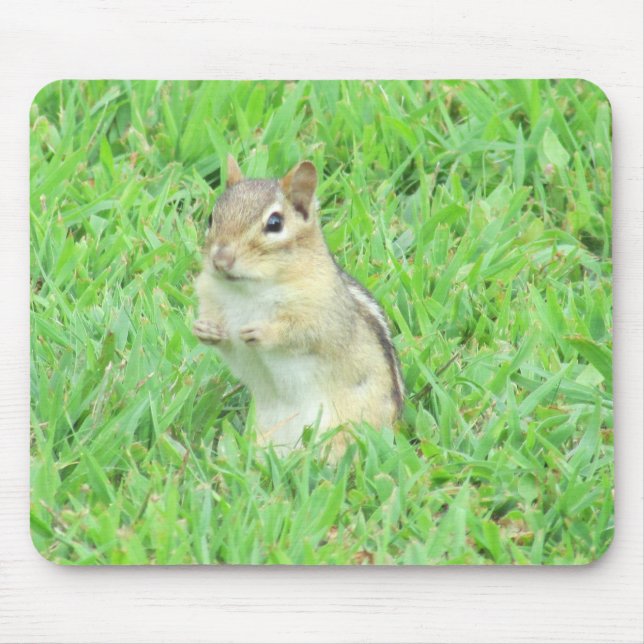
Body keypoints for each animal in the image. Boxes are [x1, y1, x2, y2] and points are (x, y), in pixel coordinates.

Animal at [193, 155, 403, 456]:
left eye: (275, 223)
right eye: (212, 217)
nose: (221, 259)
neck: (248, 289)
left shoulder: (320, 312)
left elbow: (302, 334)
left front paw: (261, 332)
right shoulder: (210, 296)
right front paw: (205, 330)